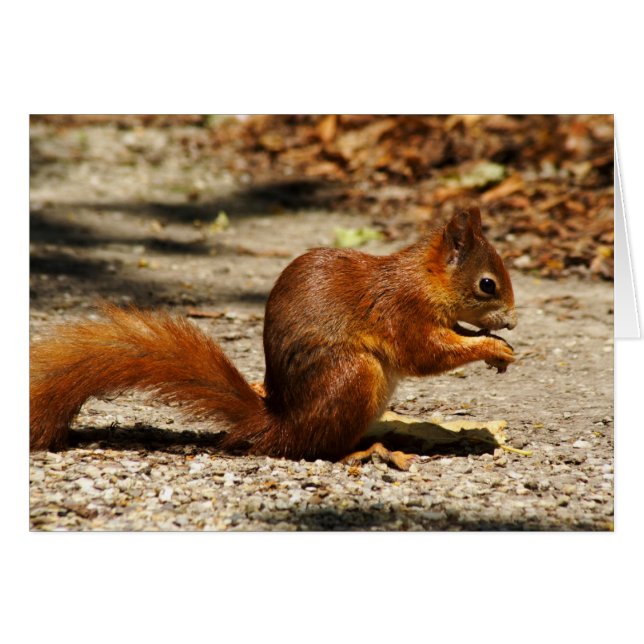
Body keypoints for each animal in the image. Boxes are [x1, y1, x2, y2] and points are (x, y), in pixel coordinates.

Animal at [30, 207, 517, 469]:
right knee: (316, 450)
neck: (423, 278)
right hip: (355, 376)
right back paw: (368, 452)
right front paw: (492, 346)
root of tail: (282, 424)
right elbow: (426, 353)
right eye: (487, 284)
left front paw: (496, 347)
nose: (512, 321)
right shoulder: (403, 311)